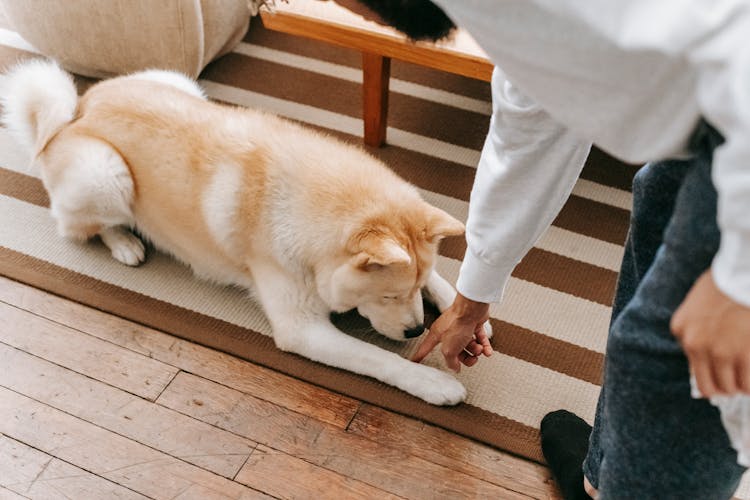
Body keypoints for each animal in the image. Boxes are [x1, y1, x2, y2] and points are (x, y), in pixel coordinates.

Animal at [0, 58, 490, 404]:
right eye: (389, 296)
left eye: (413, 290)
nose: (415, 331)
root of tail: (76, 113)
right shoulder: (301, 329)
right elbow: (378, 360)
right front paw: (432, 382)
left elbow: (445, 280)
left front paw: (468, 314)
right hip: (104, 173)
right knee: (77, 226)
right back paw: (124, 242)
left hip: (181, 85)